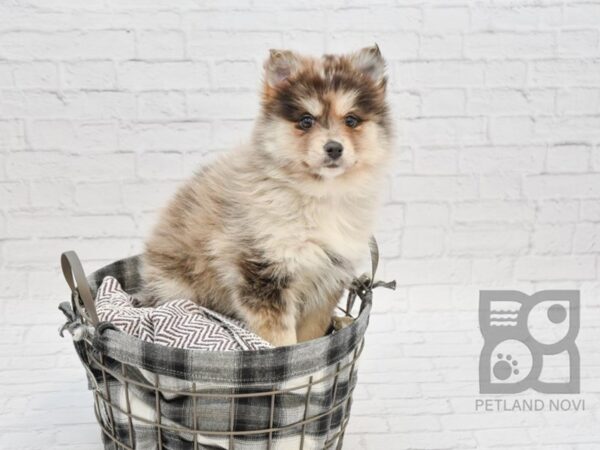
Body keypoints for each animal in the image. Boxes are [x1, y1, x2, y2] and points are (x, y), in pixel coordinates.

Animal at [141, 45, 394, 346]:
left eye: (351, 120)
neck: (318, 194)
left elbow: (311, 334)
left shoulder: (328, 277)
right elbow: (278, 340)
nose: (334, 148)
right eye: (306, 121)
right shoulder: (261, 272)